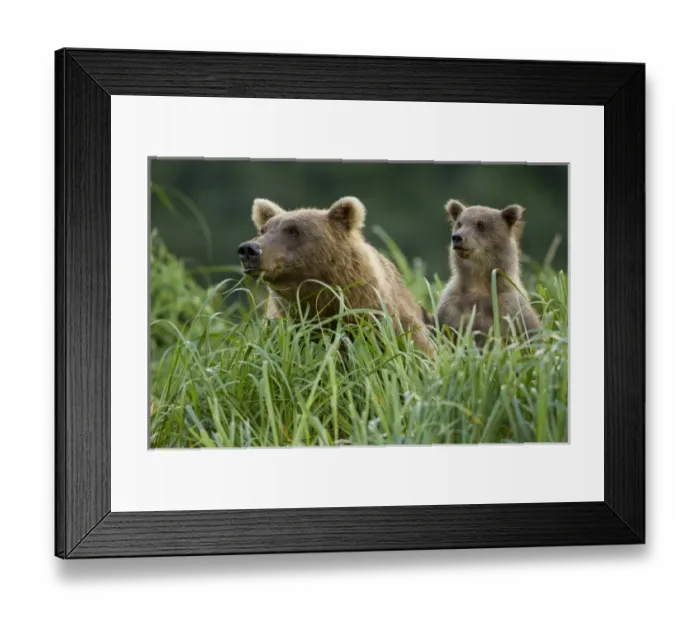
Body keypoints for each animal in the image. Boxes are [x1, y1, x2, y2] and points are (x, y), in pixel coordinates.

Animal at [436, 199, 540, 346]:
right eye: (459, 223)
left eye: (480, 224)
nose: (457, 237)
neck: (479, 282)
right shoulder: (451, 308)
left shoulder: (513, 310)